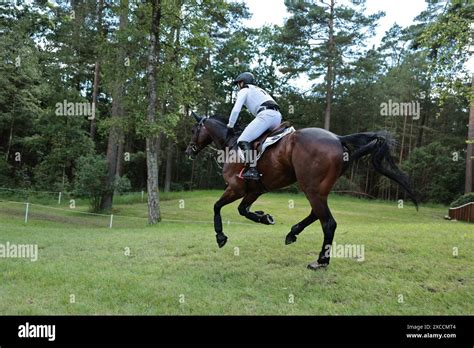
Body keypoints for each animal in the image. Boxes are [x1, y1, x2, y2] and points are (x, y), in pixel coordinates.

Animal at [185, 112, 414, 270]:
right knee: (317, 214)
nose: (188, 151)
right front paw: (264, 217)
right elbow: (243, 210)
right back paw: (292, 233)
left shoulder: (236, 187)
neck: (231, 144)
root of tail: (338, 138)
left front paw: (220, 237)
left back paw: (321, 261)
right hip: (318, 189)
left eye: (194, 130)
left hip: (311, 188)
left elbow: (217, 206)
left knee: (328, 223)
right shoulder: (255, 190)